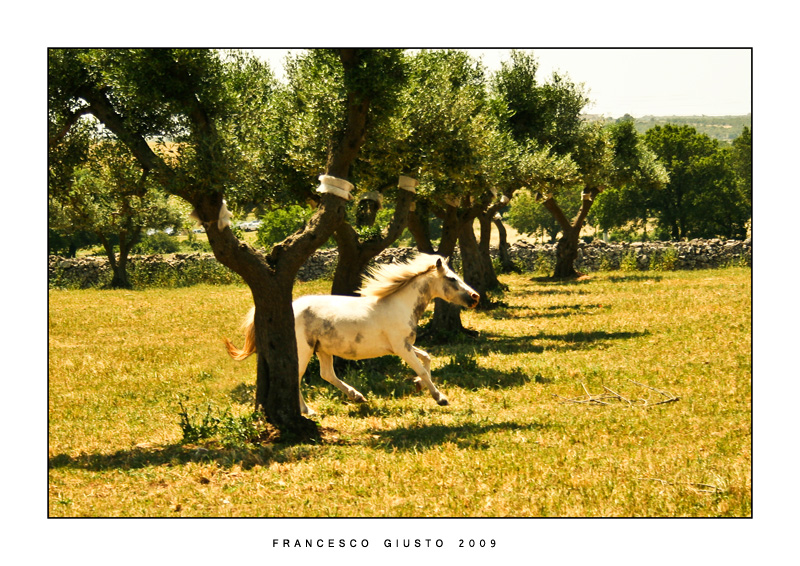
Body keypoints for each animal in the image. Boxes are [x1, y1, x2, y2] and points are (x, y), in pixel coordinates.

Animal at [224, 253, 479, 415]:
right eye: (452, 278)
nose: (475, 297)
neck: (399, 305)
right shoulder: (401, 347)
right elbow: (421, 368)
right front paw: (440, 398)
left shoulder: (404, 345)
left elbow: (427, 357)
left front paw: (418, 385)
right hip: (304, 350)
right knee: (296, 377)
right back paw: (309, 410)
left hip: (322, 349)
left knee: (326, 374)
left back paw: (357, 396)